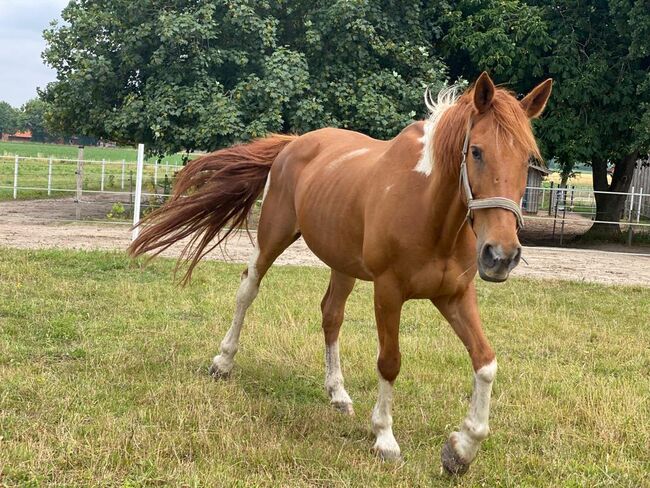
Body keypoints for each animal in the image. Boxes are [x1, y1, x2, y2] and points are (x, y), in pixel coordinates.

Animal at [129, 73, 548, 476]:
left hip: (343, 265)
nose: (501, 255)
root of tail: (295, 143)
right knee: (248, 288)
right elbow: (390, 361)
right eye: (476, 151)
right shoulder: (388, 291)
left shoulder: (455, 295)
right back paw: (223, 361)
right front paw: (385, 438)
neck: (430, 210)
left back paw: (338, 393)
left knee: (331, 315)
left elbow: (485, 363)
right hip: (273, 236)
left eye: (528, 158)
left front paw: (460, 450)